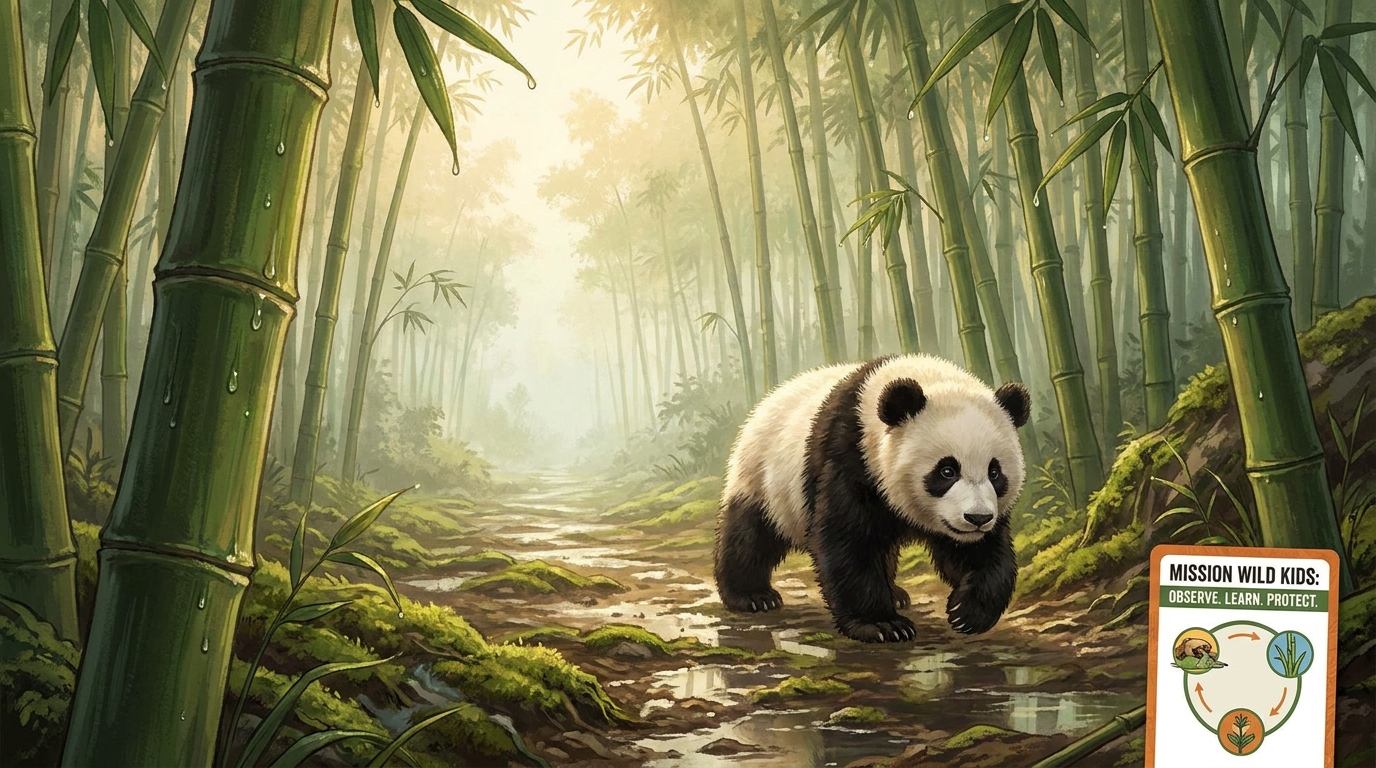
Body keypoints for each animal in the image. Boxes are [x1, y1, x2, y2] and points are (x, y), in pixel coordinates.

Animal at [713, 354, 1030, 643]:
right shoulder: (849, 457)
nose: (977, 518)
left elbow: (982, 552)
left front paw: (969, 612)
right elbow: (849, 541)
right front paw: (882, 625)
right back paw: (752, 596)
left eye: (995, 472)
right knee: (751, 534)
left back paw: (897, 594)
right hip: (763, 477)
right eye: (947, 471)